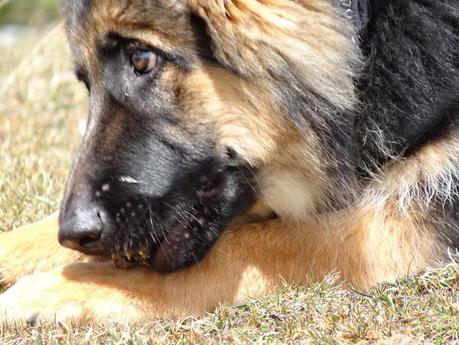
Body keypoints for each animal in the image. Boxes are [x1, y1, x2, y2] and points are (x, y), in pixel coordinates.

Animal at [0, 0, 458, 322]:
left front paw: (70, 287)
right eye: (86, 83)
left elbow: (249, 247)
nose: (74, 235)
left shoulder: (411, 215)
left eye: (142, 60)